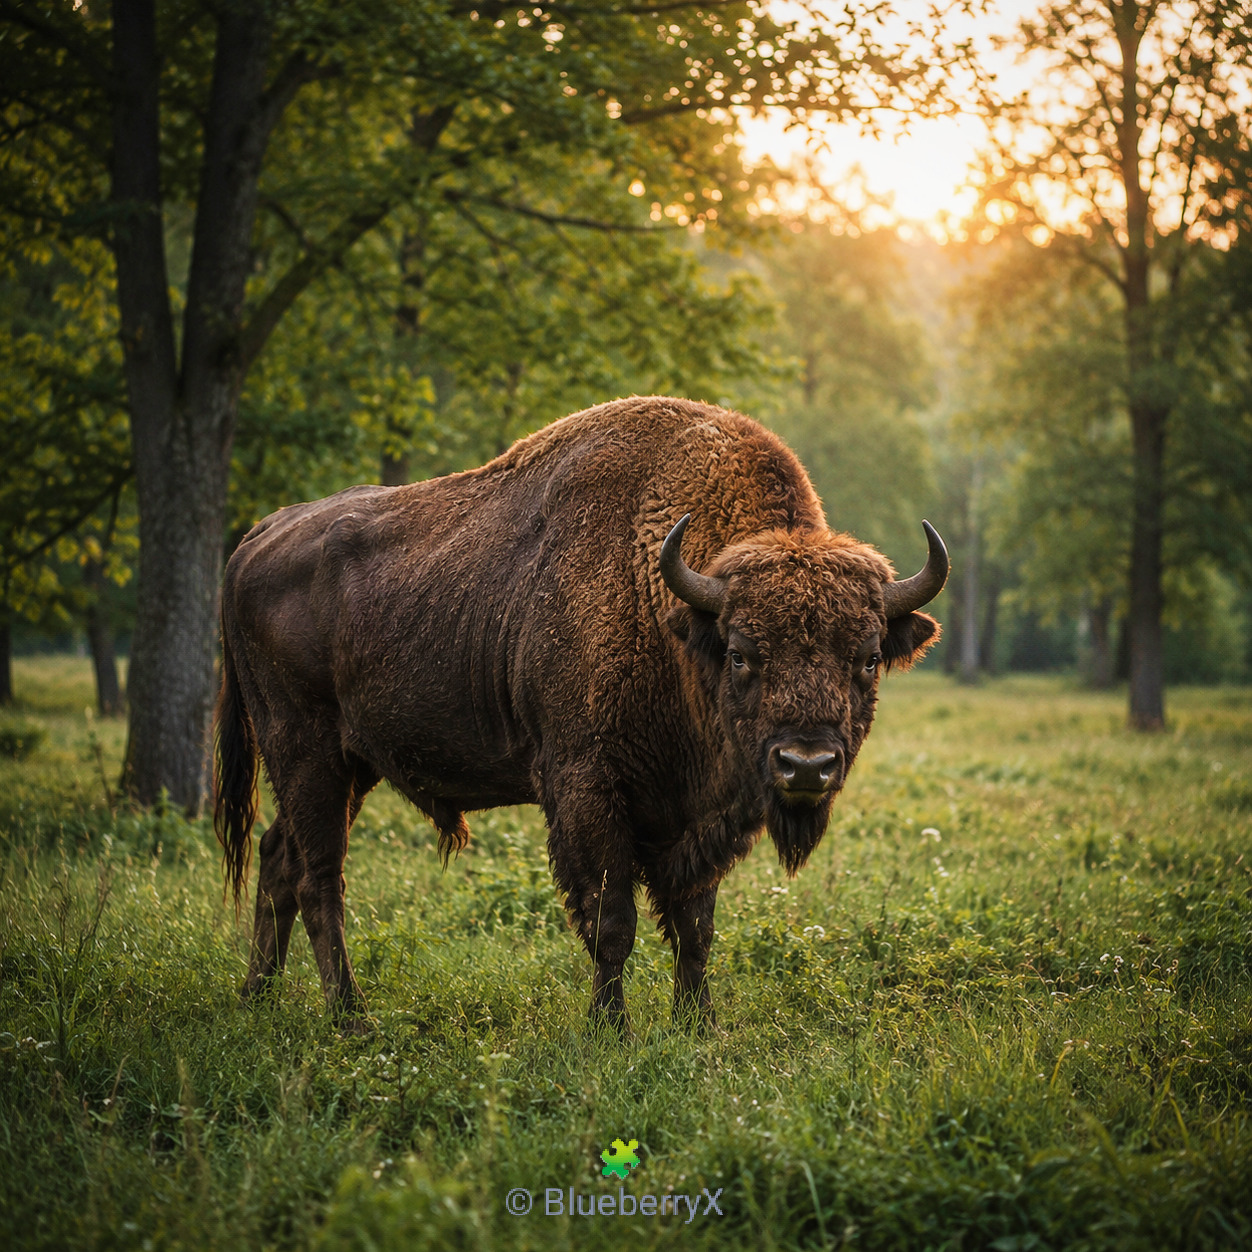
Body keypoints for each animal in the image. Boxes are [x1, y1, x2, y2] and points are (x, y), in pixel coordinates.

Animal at [215, 396, 947, 1031]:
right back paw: (350, 1017)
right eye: (741, 653)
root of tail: (254, 540)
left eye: (867, 657)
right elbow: (611, 920)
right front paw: (610, 1029)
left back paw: (257, 998)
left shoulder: (701, 816)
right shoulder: (587, 789)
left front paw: (698, 1026)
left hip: (352, 765)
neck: (674, 616)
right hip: (305, 751)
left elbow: (695, 925)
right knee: (319, 877)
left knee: (279, 857)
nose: (807, 766)